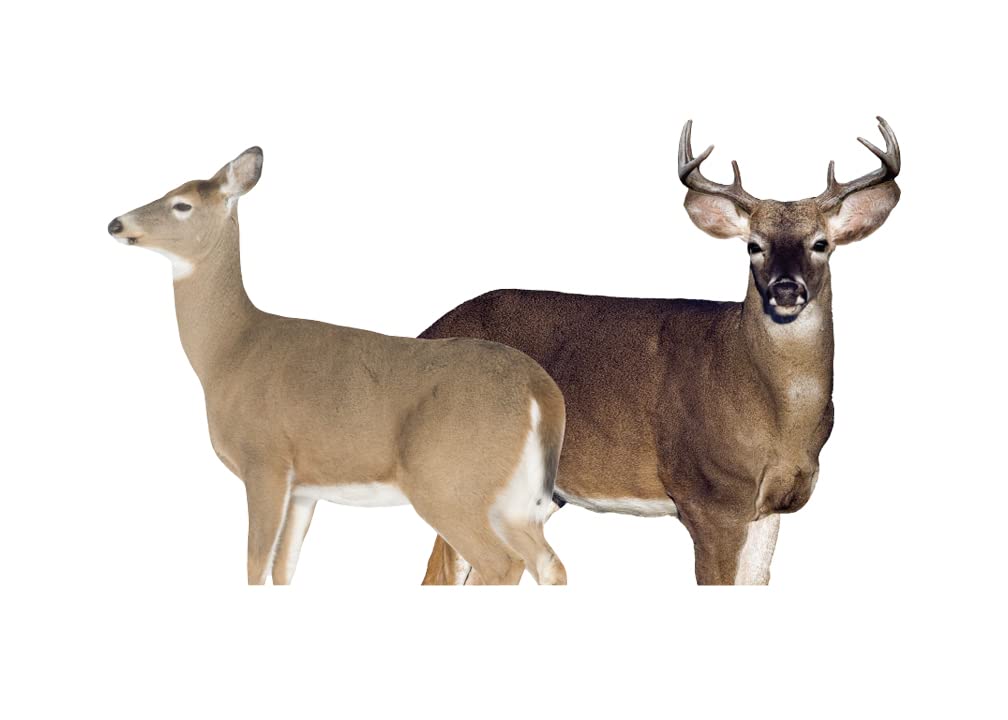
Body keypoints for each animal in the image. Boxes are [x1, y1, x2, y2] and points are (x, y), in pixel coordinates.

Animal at [107, 147, 567, 586]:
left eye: (181, 204)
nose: (115, 224)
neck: (230, 351)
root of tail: (541, 389)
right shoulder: (304, 488)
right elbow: (284, 569)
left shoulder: (265, 460)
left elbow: (255, 566)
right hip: (513, 499)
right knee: (549, 564)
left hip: (449, 482)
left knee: (501, 564)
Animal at [420, 117, 900, 585]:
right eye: (753, 246)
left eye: (821, 244)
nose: (786, 289)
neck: (776, 416)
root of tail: (426, 332)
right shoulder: (708, 498)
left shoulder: (771, 506)